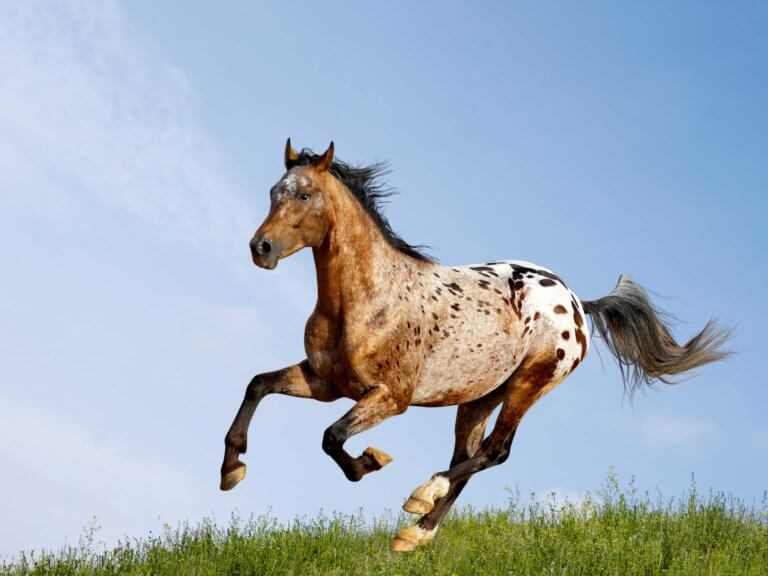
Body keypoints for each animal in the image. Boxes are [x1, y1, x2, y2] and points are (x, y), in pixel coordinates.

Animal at [218, 141, 732, 552]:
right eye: (273, 192)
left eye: (304, 194)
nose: (260, 248)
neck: (367, 299)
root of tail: (576, 302)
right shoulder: (325, 382)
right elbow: (258, 385)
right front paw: (231, 469)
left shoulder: (389, 398)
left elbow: (332, 437)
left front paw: (370, 462)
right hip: (478, 397)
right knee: (468, 457)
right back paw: (415, 535)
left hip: (529, 384)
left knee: (495, 452)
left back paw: (420, 498)